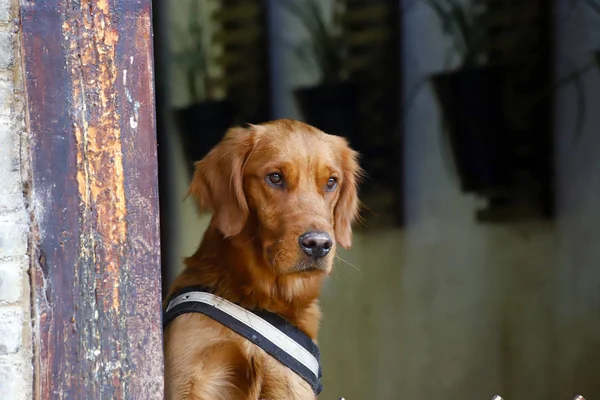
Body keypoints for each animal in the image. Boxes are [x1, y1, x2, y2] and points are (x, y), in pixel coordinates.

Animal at [164, 119, 360, 400]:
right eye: (275, 177)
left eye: (331, 182)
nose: (318, 245)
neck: (262, 296)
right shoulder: (190, 374)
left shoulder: (288, 383)